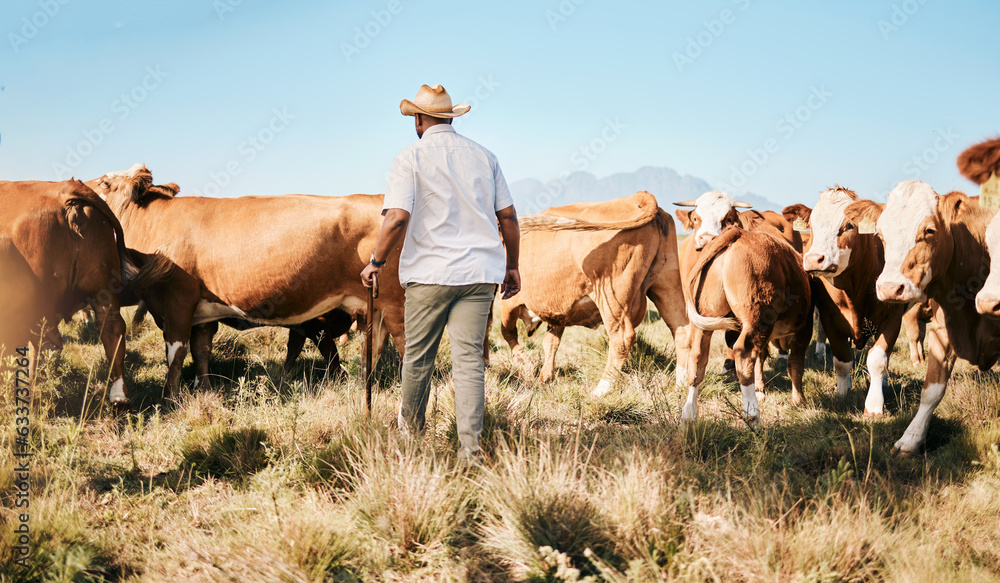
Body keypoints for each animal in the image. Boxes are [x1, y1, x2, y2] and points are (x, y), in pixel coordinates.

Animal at [0, 178, 158, 406]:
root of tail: (66, 190)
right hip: (103, 291)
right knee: (112, 331)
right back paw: (119, 398)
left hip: (39, 304)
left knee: (45, 343)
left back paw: (33, 393)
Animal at [86, 164, 406, 402]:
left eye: (105, 182)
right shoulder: (202, 311)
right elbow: (201, 350)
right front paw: (202, 390)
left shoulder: (177, 301)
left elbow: (175, 354)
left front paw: (169, 401)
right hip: (373, 309)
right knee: (373, 349)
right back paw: (363, 388)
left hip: (396, 302)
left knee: (404, 347)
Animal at [498, 192, 692, 396]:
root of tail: (638, 197)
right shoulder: (558, 310)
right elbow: (550, 342)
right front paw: (545, 377)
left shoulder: (508, 303)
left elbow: (508, 332)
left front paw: (524, 362)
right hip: (666, 284)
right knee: (681, 330)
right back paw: (681, 385)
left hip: (611, 295)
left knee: (622, 338)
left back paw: (601, 389)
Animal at [680, 224, 812, 428]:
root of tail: (740, 233)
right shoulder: (804, 329)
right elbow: (795, 364)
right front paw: (799, 401)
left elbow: (761, 359)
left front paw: (761, 389)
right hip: (759, 316)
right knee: (745, 353)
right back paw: (752, 416)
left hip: (707, 320)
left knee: (697, 358)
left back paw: (689, 414)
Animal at [872, 180, 996, 454]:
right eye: (881, 235)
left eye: (929, 230)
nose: (889, 288)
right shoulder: (942, 330)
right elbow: (932, 389)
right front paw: (911, 439)